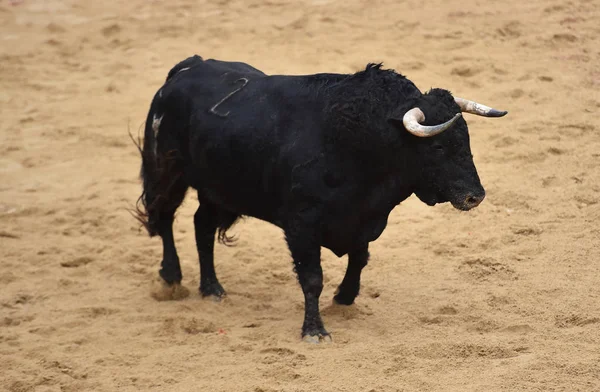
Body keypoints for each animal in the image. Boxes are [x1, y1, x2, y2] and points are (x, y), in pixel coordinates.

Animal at [132, 55, 506, 344]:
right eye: (439, 147)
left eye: (466, 140)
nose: (475, 196)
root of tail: (188, 67)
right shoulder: (301, 226)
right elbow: (312, 278)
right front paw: (314, 330)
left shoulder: (363, 218)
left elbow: (359, 259)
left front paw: (345, 297)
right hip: (167, 172)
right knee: (165, 217)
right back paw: (172, 278)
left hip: (220, 190)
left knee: (202, 226)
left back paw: (212, 288)